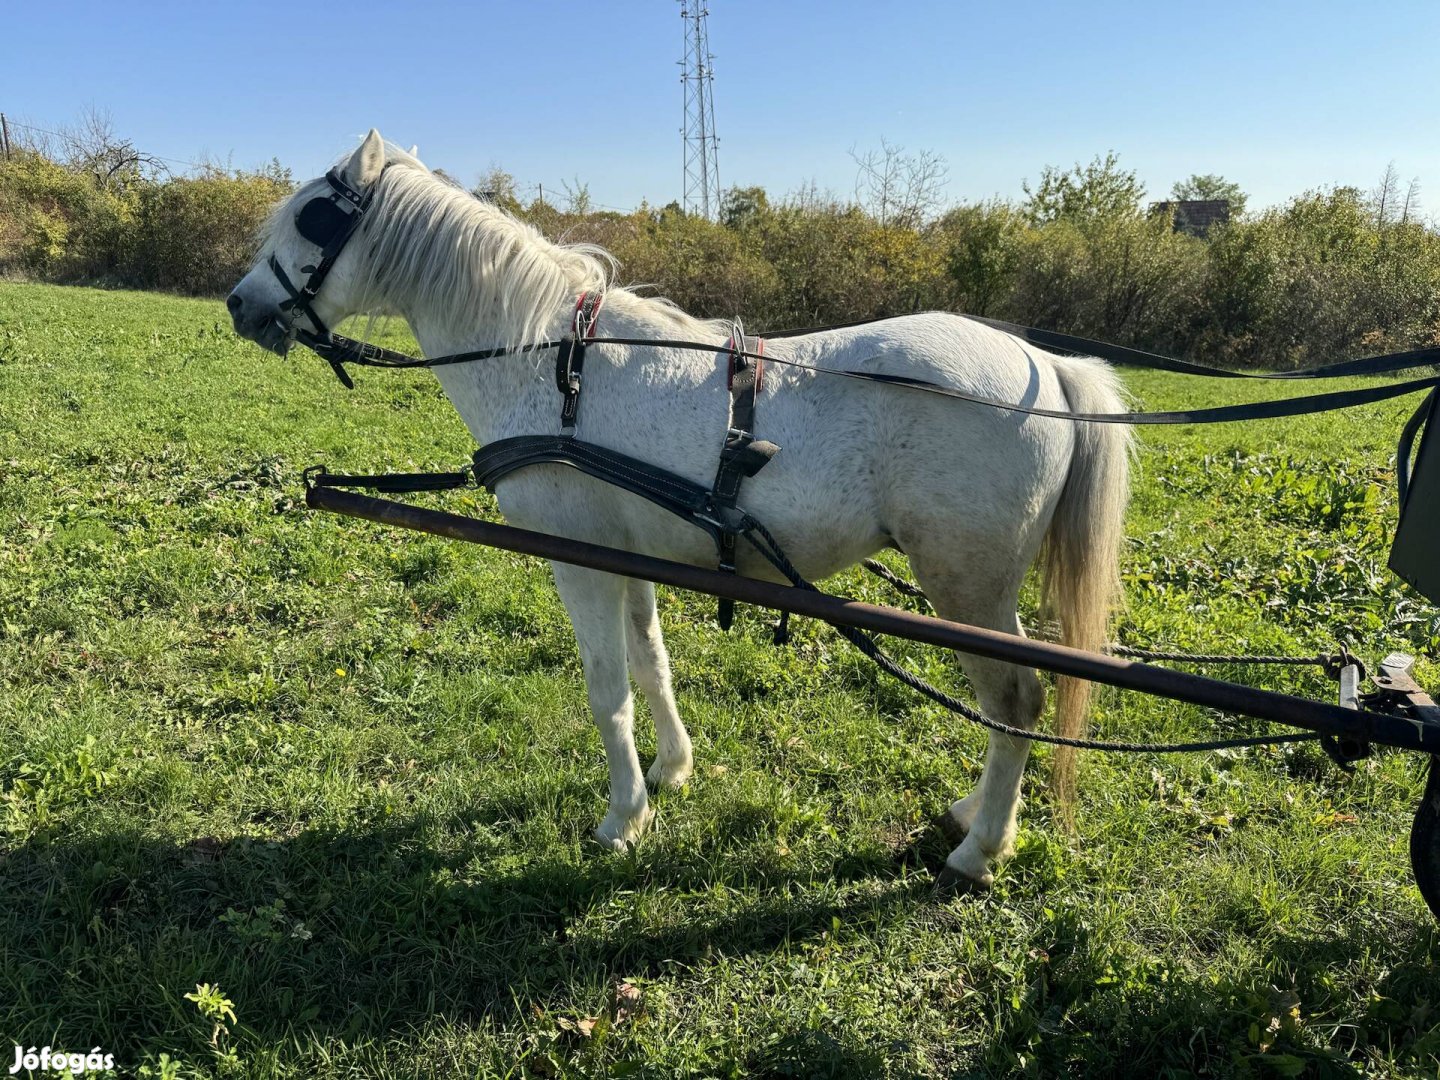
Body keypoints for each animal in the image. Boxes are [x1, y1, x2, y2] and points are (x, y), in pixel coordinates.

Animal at [224, 131, 1128, 892]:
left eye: (310, 218)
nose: (238, 304)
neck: (552, 364)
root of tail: (1044, 366)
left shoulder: (578, 559)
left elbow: (606, 690)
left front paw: (622, 817)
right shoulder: (629, 556)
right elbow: (651, 665)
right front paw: (670, 771)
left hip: (965, 585)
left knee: (1016, 704)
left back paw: (981, 849)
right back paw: (976, 815)